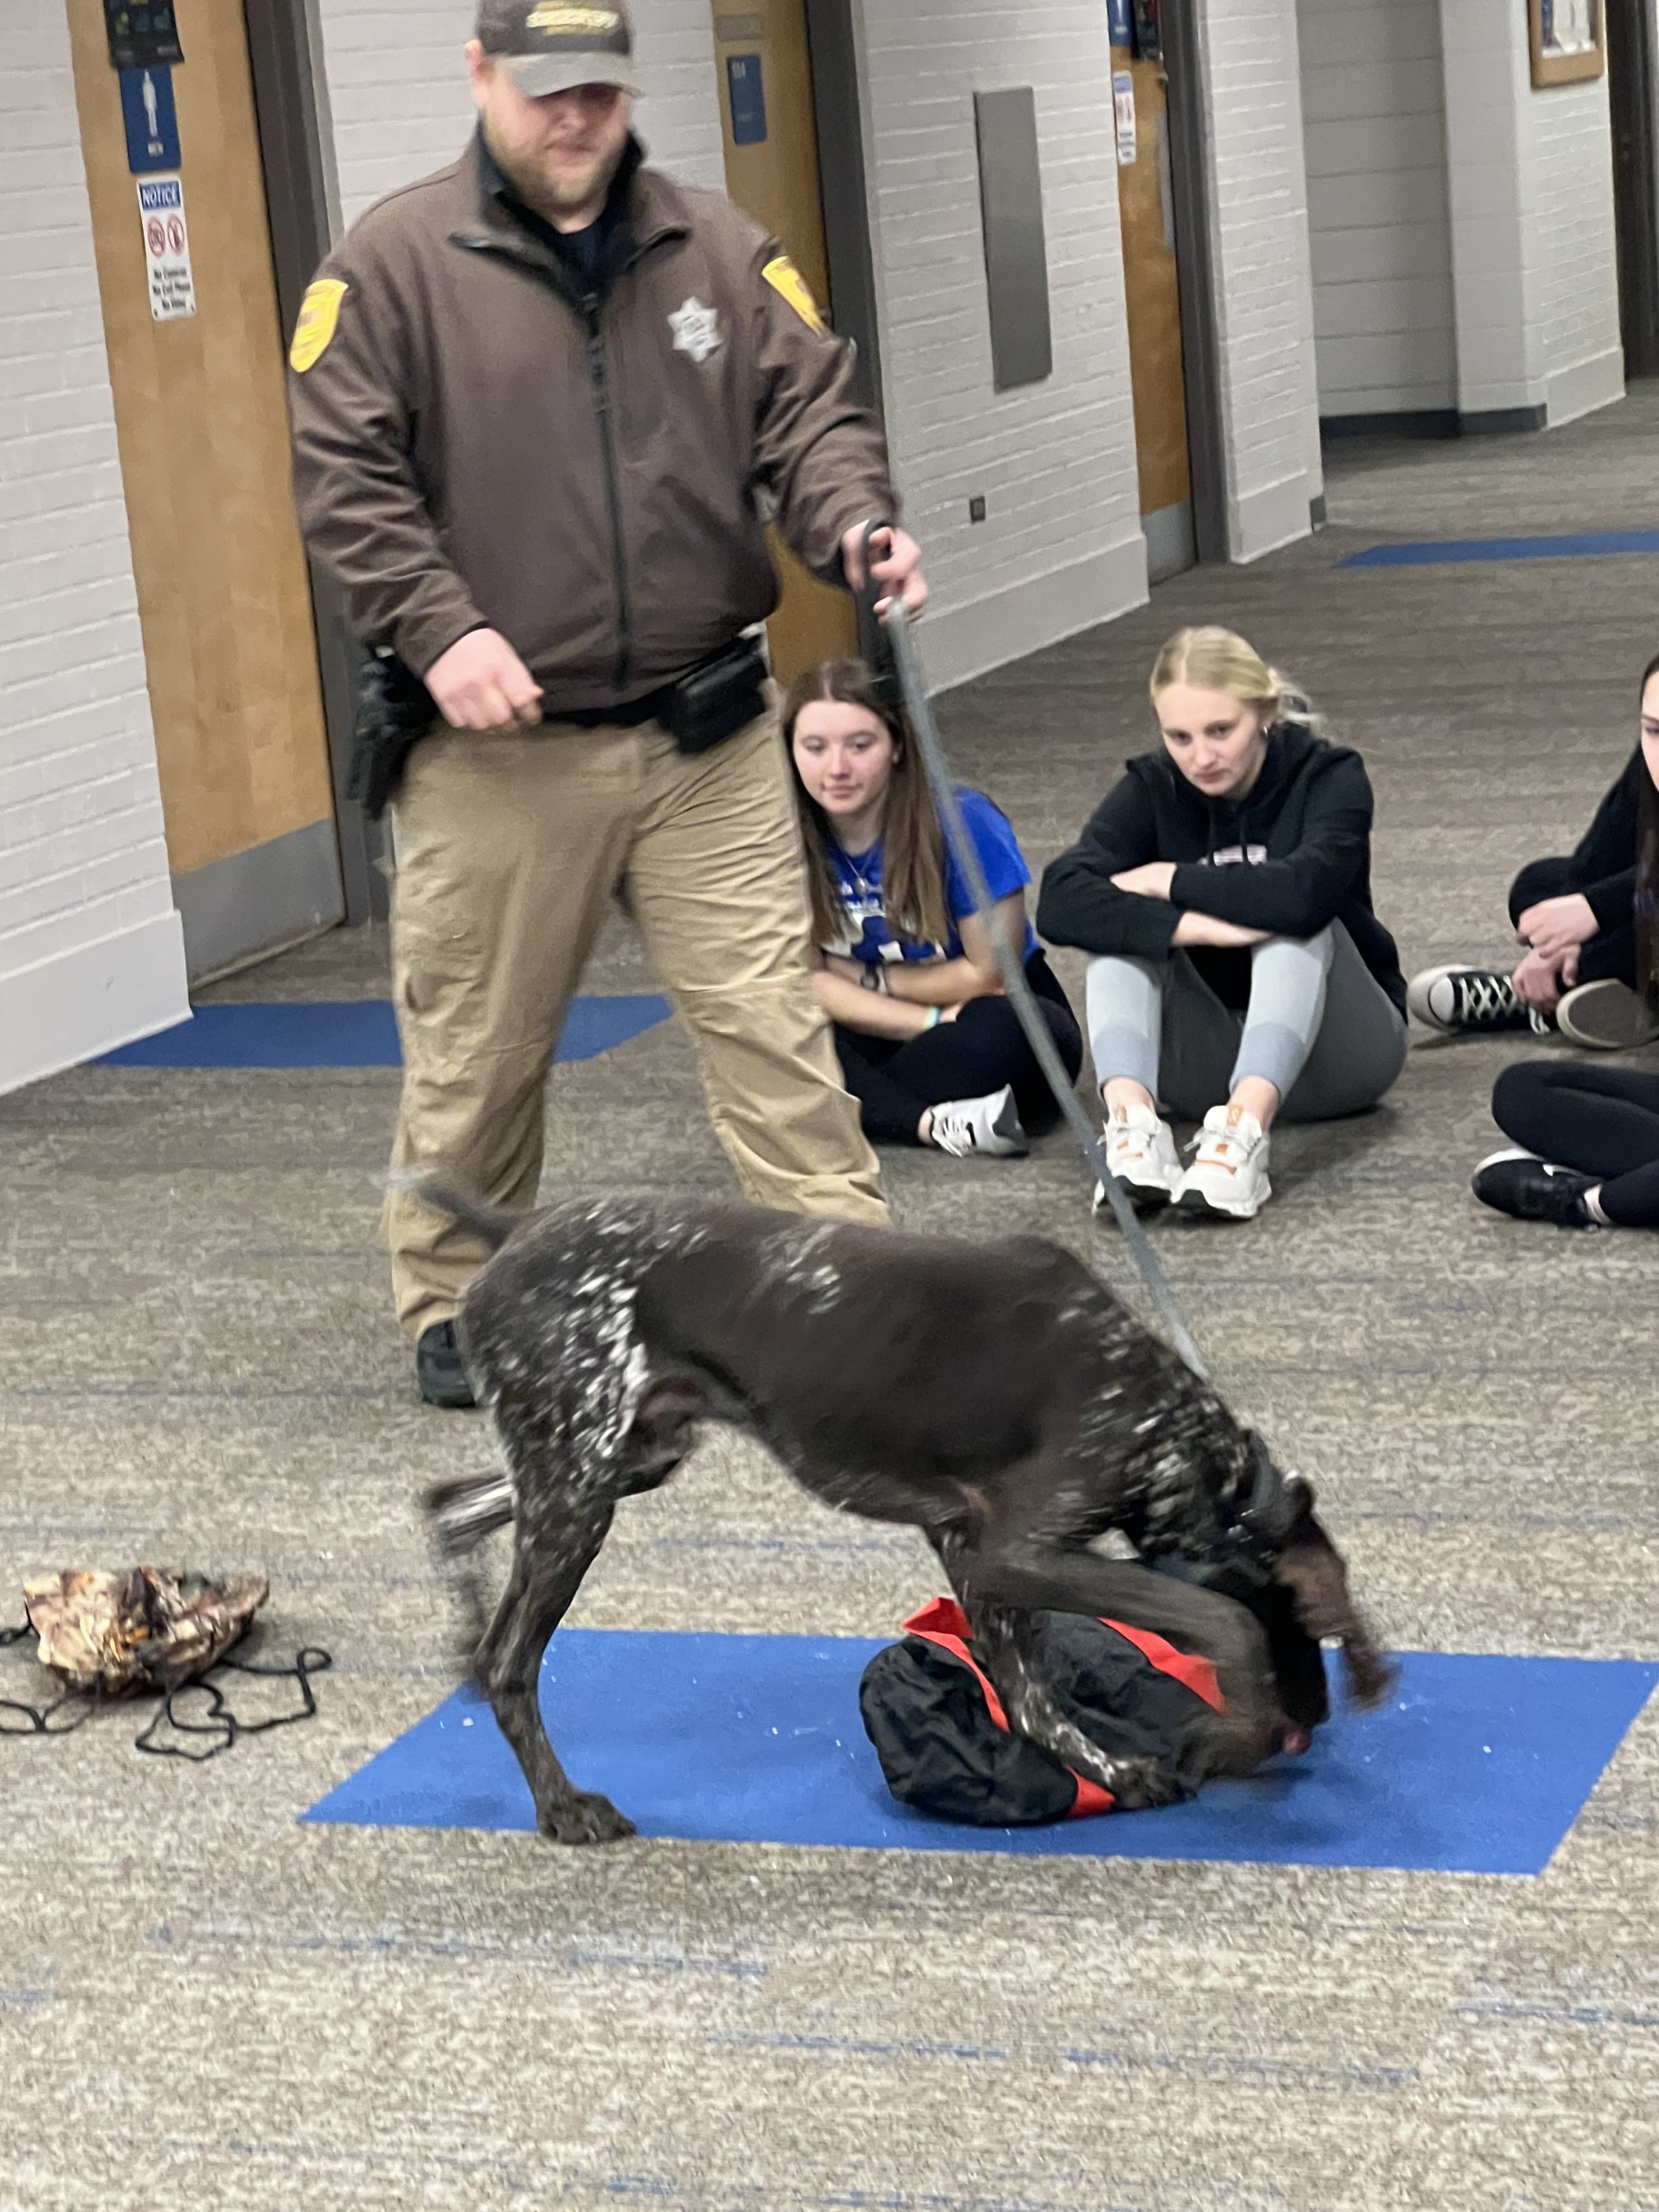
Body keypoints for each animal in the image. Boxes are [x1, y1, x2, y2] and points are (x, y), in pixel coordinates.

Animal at [418, 1194, 1389, 1849]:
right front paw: (1228, 1735)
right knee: (511, 1662)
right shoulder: (1014, 1551)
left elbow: (1033, 1698)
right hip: (581, 1489)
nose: (1312, 1718)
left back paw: (459, 1611)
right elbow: (1214, 1617)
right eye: (1300, 1624)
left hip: (624, 1460)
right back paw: (561, 1805)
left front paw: (1115, 1768)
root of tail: (512, 1236)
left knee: (454, 1508)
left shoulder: (968, 1549)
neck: (1167, 1421)